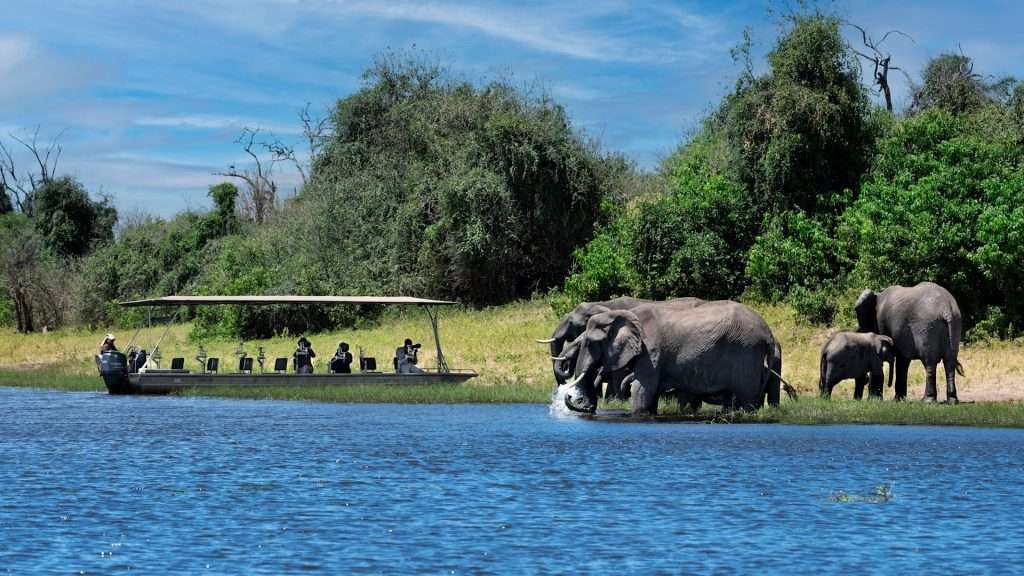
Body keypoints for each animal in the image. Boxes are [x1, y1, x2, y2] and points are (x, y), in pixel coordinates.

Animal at [562, 300, 779, 415]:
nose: (585, 405)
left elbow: (641, 388)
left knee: (747, 399)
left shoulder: (651, 351)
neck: (621, 314)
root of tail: (768, 333)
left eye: (590, 343)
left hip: (746, 351)